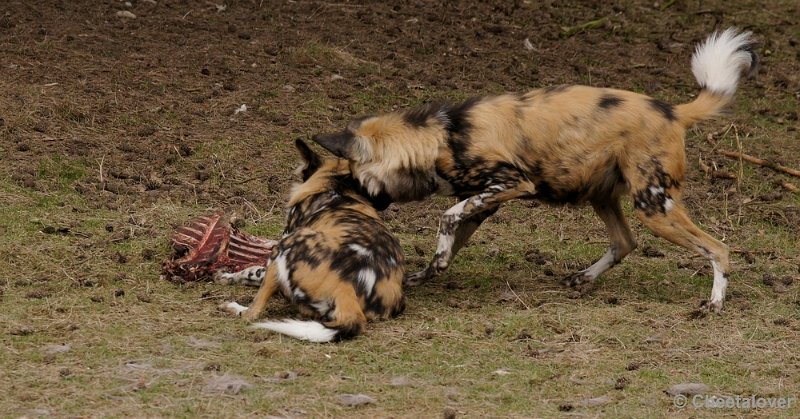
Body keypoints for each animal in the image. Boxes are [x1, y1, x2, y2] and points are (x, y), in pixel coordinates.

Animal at [220, 139, 404, 342]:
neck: (334, 189)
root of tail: (347, 288)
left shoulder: (274, 257)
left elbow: (252, 271)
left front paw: (227, 276)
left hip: (291, 242)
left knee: (253, 312)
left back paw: (236, 308)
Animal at [310, 28, 760, 312]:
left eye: (355, 179)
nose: (360, 202)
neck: (443, 136)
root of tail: (673, 111)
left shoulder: (509, 185)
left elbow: (446, 217)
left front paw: (430, 267)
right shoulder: (483, 202)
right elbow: (451, 243)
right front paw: (425, 274)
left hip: (654, 207)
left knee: (719, 248)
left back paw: (714, 303)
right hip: (605, 197)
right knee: (625, 242)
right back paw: (583, 279)